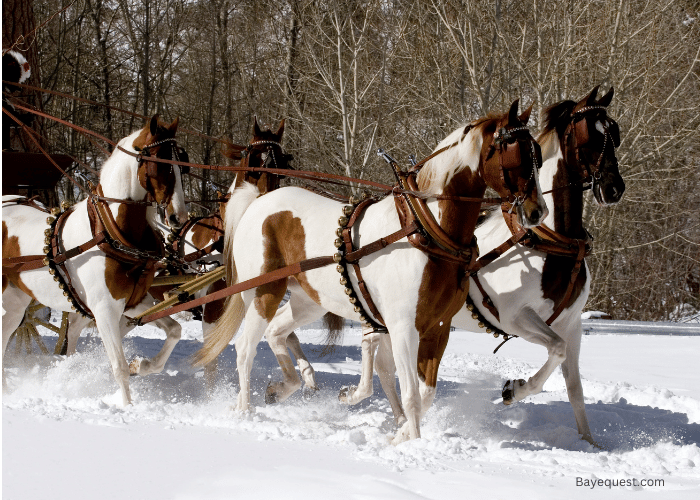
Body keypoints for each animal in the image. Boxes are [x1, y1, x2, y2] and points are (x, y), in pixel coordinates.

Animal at [2, 115, 187, 404]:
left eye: (181, 165)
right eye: (160, 163)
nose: (179, 217)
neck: (108, 231)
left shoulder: (134, 302)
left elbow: (174, 330)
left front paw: (142, 365)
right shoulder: (104, 309)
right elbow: (118, 366)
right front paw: (127, 406)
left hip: (16, 303)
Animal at [196, 100, 548, 442]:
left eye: (538, 155)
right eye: (514, 154)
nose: (538, 212)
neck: (425, 229)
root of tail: (259, 202)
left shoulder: (438, 327)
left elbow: (426, 393)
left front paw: (403, 432)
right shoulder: (403, 327)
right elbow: (409, 393)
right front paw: (411, 441)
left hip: (308, 301)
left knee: (276, 332)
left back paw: (283, 387)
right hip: (263, 292)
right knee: (245, 348)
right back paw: (244, 411)